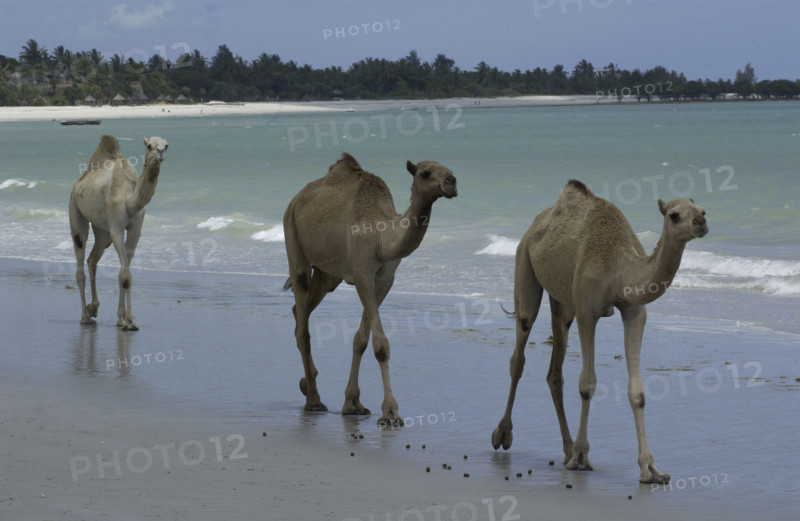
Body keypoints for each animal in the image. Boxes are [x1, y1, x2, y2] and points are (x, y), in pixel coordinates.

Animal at [68, 135, 168, 330]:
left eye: (166, 145)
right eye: (149, 145)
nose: (160, 152)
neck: (130, 198)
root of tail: (77, 184)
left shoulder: (136, 230)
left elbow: (124, 273)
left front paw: (123, 319)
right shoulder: (116, 228)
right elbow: (125, 275)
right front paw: (131, 321)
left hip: (102, 231)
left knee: (92, 259)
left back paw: (93, 307)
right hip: (74, 209)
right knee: (80, 253)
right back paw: (85, 317)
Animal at [283, 153, 457, 425]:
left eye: (448, 169)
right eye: (425, 173)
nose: (451, 182)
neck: (381, 237)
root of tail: (297, 197)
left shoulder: (385, 279)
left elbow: (361, 340)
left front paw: (353, 404)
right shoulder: (362, 273)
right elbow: (381, 345)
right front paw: (391, 413)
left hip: (328, 274)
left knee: (299, 311)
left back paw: (306, 384)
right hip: (291, 230)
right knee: (303, 321)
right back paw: (314, 399)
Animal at [491, 180, 707, 484]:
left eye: (702, 210)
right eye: (673, 215)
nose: (700, 223)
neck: (617, 266)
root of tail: (535, 224)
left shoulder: (634, 312)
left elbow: (637, 392)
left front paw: (650, 470)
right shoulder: (587, 311)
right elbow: (587, 384)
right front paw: (582, 456)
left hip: (562, 302)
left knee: (554, 371)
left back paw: (566, 449)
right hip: (525, 264)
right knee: (519, 353)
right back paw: (504, 434)